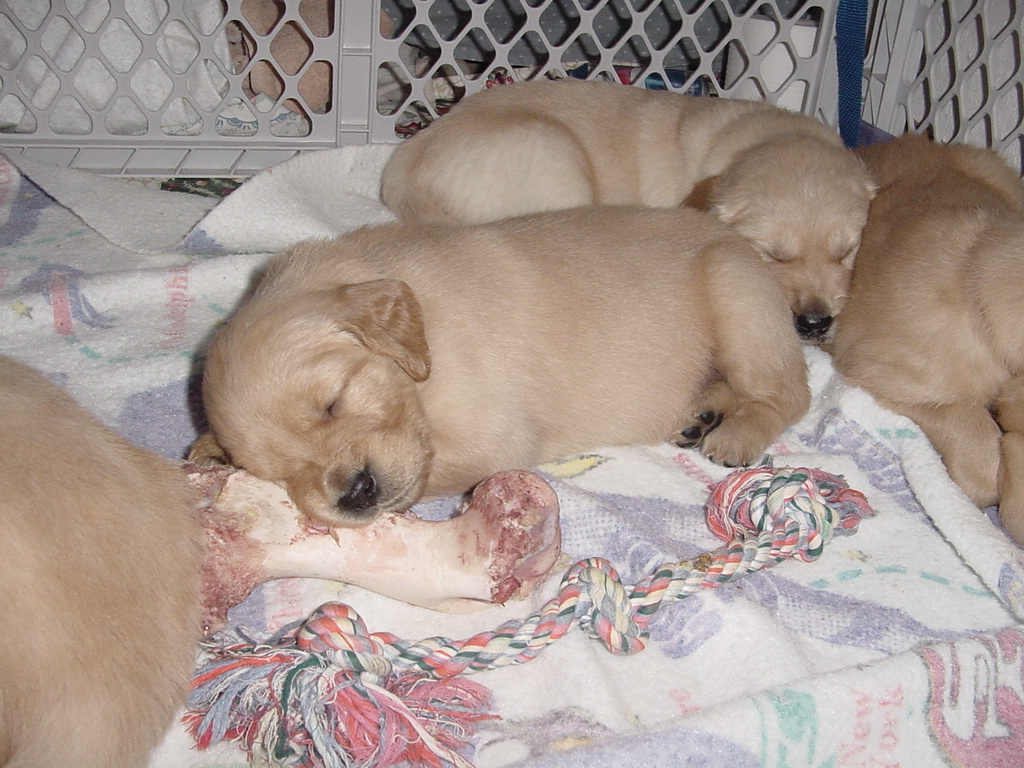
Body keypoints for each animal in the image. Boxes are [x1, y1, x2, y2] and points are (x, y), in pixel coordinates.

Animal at [192, 205, 811, 528]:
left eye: (334, 401)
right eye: (278, 473)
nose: (357, 493)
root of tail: (743, 243)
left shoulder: (495, 437)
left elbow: (440, 469)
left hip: (736, 292)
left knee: (789, 391)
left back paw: (736, 433)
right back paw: (701, 412)